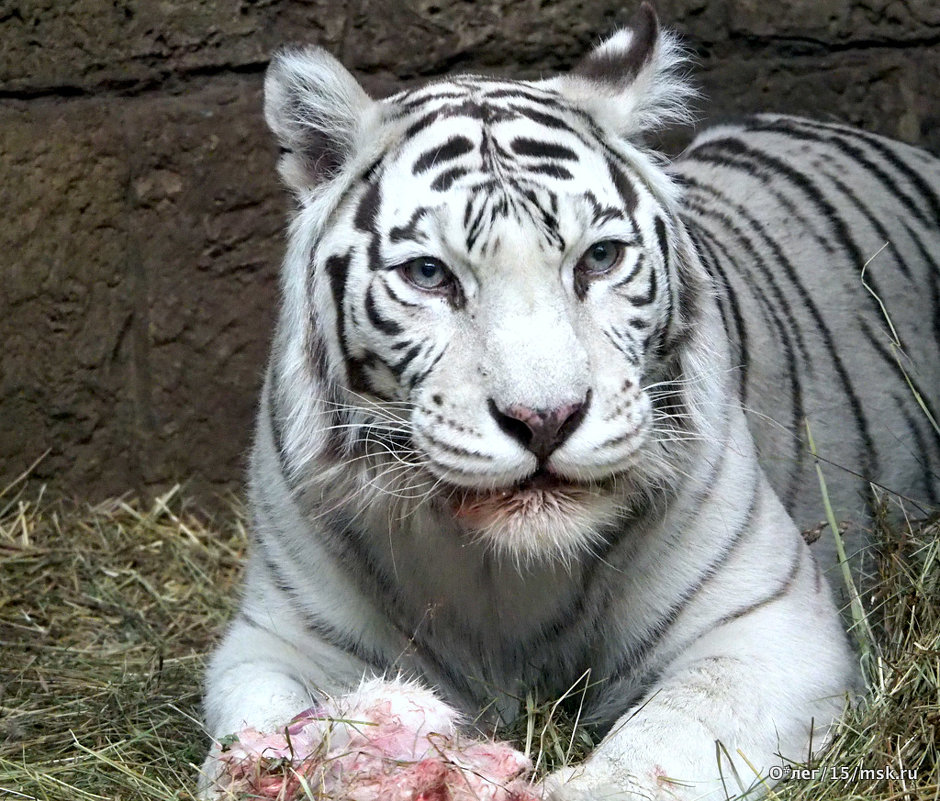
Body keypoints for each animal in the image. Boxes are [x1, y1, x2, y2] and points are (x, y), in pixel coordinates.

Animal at [202, 3, 936, 796]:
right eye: (429, 274)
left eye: (600, 258)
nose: (545, 420)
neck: (505, 580)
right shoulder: (277, 641)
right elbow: (253, 731)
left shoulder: (769, 625)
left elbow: (668, 738)